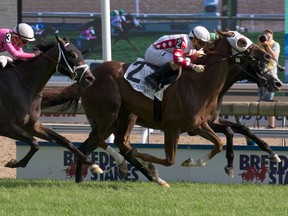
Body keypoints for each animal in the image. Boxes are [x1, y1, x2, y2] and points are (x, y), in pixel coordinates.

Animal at [0, 35, 103, 174]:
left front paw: (92, 164)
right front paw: (14, 163)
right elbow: (34, 143)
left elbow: (64, 140)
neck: (22, 85)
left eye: (82, 54)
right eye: (72, 54)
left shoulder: (31, 126)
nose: (90, 78)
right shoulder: (6, 126)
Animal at [41, 31, 280, 185]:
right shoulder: (176, 128)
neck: (200, 83)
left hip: (120, 116)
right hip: (110, 113)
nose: (277, 82)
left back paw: (84, 177)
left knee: (93, 144)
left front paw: (265, 156)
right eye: (242, 42)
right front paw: (161, 166)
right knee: (105, 140)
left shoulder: (201, 124)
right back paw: (131, 167)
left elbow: (228, 136)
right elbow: (170, 159)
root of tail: (87, 76)